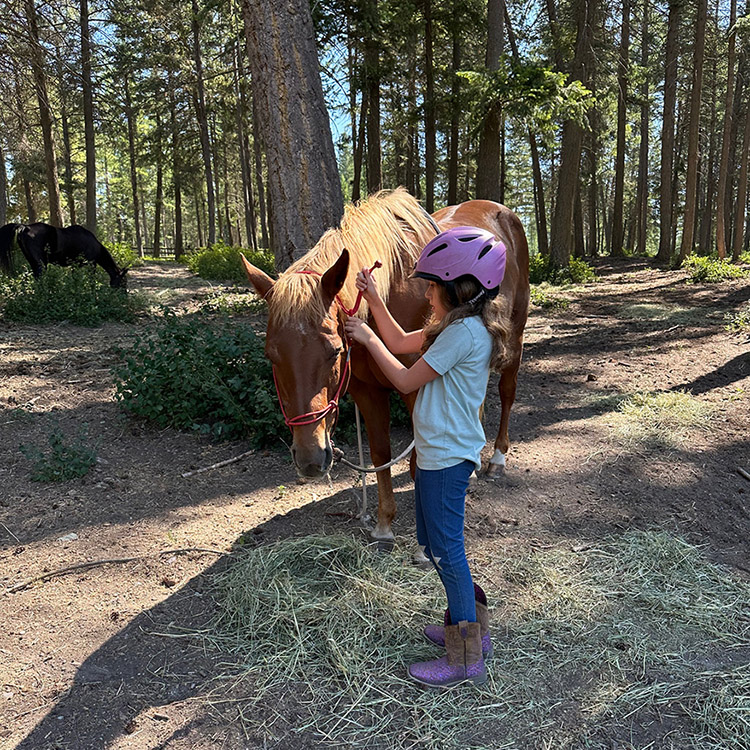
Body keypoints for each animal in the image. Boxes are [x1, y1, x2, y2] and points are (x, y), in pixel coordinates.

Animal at [0, 222, 129, 290]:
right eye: (123, 281)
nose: (124, 295)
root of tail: (26, 227)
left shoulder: (75, 265)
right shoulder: (91, 264)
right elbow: (91, 279)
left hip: (32, 261)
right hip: (40, 263)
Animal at [241, 188, 528, 540]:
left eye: (334, 352)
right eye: (271, 355)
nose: (310, 457)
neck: (394, 288)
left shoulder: (416, 389)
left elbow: (419, 463)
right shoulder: (367, 390)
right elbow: (381, 452)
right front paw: (383, 524)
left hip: (514, 338)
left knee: (506, 392)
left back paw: (497, 459)